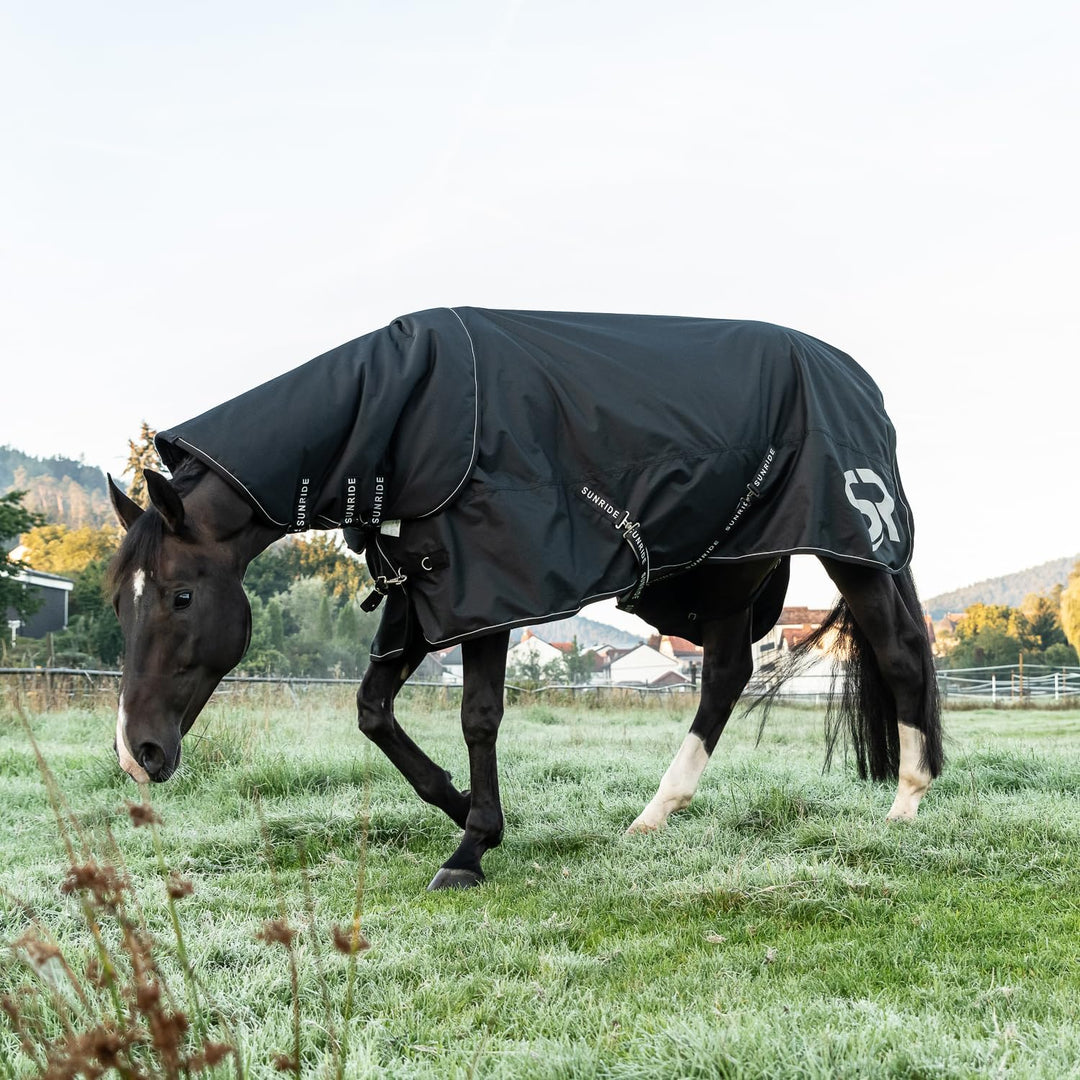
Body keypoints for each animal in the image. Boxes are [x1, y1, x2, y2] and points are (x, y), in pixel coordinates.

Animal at [105, 307, 943, 890]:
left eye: (181, 597)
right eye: (121, 605)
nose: (138, 754)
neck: (402, 413)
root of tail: (856, 379)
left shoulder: (488, 589)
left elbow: (479, 717)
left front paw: (471, 846)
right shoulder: (421, 594)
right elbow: (373, 710)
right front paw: (461, 808)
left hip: (851, 547)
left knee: (900, 653)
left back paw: (906, 801)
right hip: (736, 568)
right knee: (728, 675)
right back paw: (655, 814)